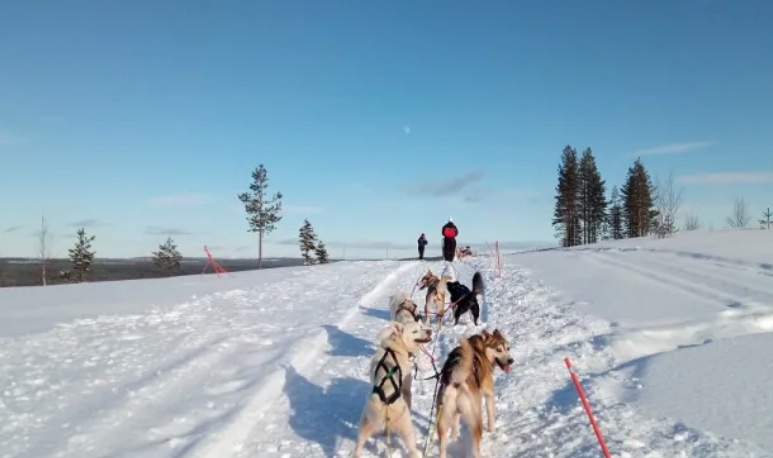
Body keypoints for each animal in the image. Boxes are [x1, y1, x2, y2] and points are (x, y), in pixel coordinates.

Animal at [352, 320, 432, 458]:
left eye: (421, 326)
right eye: (415, 331)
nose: (429, 331)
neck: (395, 347)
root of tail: (386, 401)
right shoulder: (406, 389)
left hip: (364, 427)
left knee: (358, 445)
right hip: (407, 429)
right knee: (412, 449)